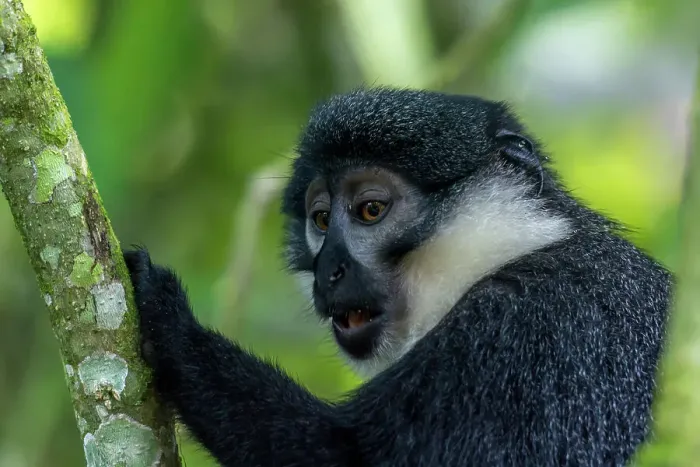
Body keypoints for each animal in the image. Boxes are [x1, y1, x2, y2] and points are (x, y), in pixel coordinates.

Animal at [124, 87, 672, 466]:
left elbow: (347, 453)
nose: (329, 270)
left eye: (370, 210)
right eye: (320, 220)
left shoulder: (525, 331)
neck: (517, 248)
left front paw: (169, 319)